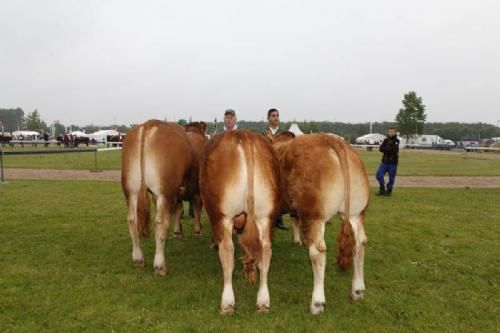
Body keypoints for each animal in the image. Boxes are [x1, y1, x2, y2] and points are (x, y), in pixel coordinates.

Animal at [121, 119, 197, 274]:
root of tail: (148, 125)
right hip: (165, 193)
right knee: (161, 223)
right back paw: (160, 265)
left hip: (131, 190)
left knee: (132, 220)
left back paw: (138, 259)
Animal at [201, 129, 284, 314]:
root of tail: (245, 136)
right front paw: (249, 271)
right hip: (266, 215)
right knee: (265, 250)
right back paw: (263, 302)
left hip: (222, 215)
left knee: (227, 251)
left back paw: (227, 304)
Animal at [272, 132, 370, 314]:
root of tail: (331, 139)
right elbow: (294, 220)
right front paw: (296, 241)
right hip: (356, 212)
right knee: (360, 244)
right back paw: (358, 291)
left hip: (313, 215)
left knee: (318, 251)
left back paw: (317, 302)